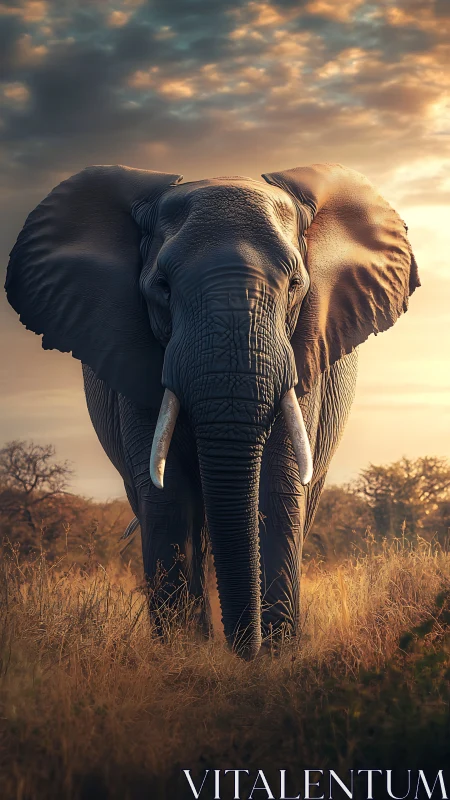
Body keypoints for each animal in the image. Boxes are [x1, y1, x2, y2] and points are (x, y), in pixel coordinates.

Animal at [5, 163, 419, 659]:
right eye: (162, 288)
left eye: (295, 285)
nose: (243, 647)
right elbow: (168, 495)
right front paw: (181, 653)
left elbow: (276, 488)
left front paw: (273, 656)